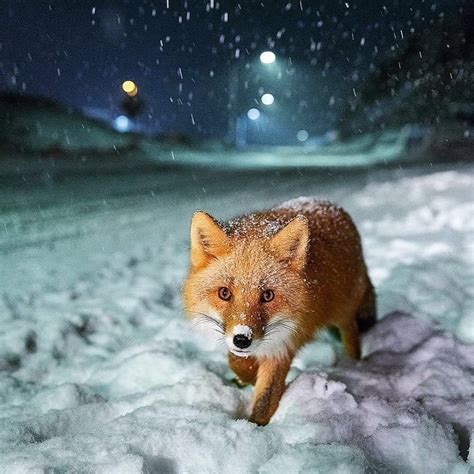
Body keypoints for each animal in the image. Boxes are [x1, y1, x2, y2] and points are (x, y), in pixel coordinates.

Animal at [183, 196, 376, 426]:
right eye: (224, 293)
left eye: (267, 295)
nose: (242, 339)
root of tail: (326, 202)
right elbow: (236, 361)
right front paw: (246, 376)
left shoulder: (285, 341)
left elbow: (266, 398)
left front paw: (256, 425)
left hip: (342, 312)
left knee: (352, 332)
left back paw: (352, 364)